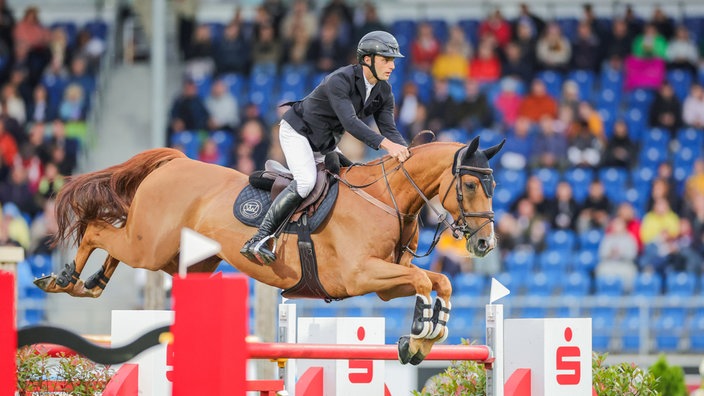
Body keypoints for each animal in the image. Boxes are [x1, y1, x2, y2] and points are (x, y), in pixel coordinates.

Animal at [35, 136, 504, 366]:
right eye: (469, 184)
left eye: (493, 184)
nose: (485, 244)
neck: (384, 198)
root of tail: (176, 160)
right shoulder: (360, 275)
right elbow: (425, 278)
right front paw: (421, 333)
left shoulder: (384, 283)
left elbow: (439, 280)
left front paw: (423, 340)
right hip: (150, 246)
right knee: (98, 230)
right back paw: (64, 279)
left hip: (175, 256)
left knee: (115, 240)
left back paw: (91, 283)